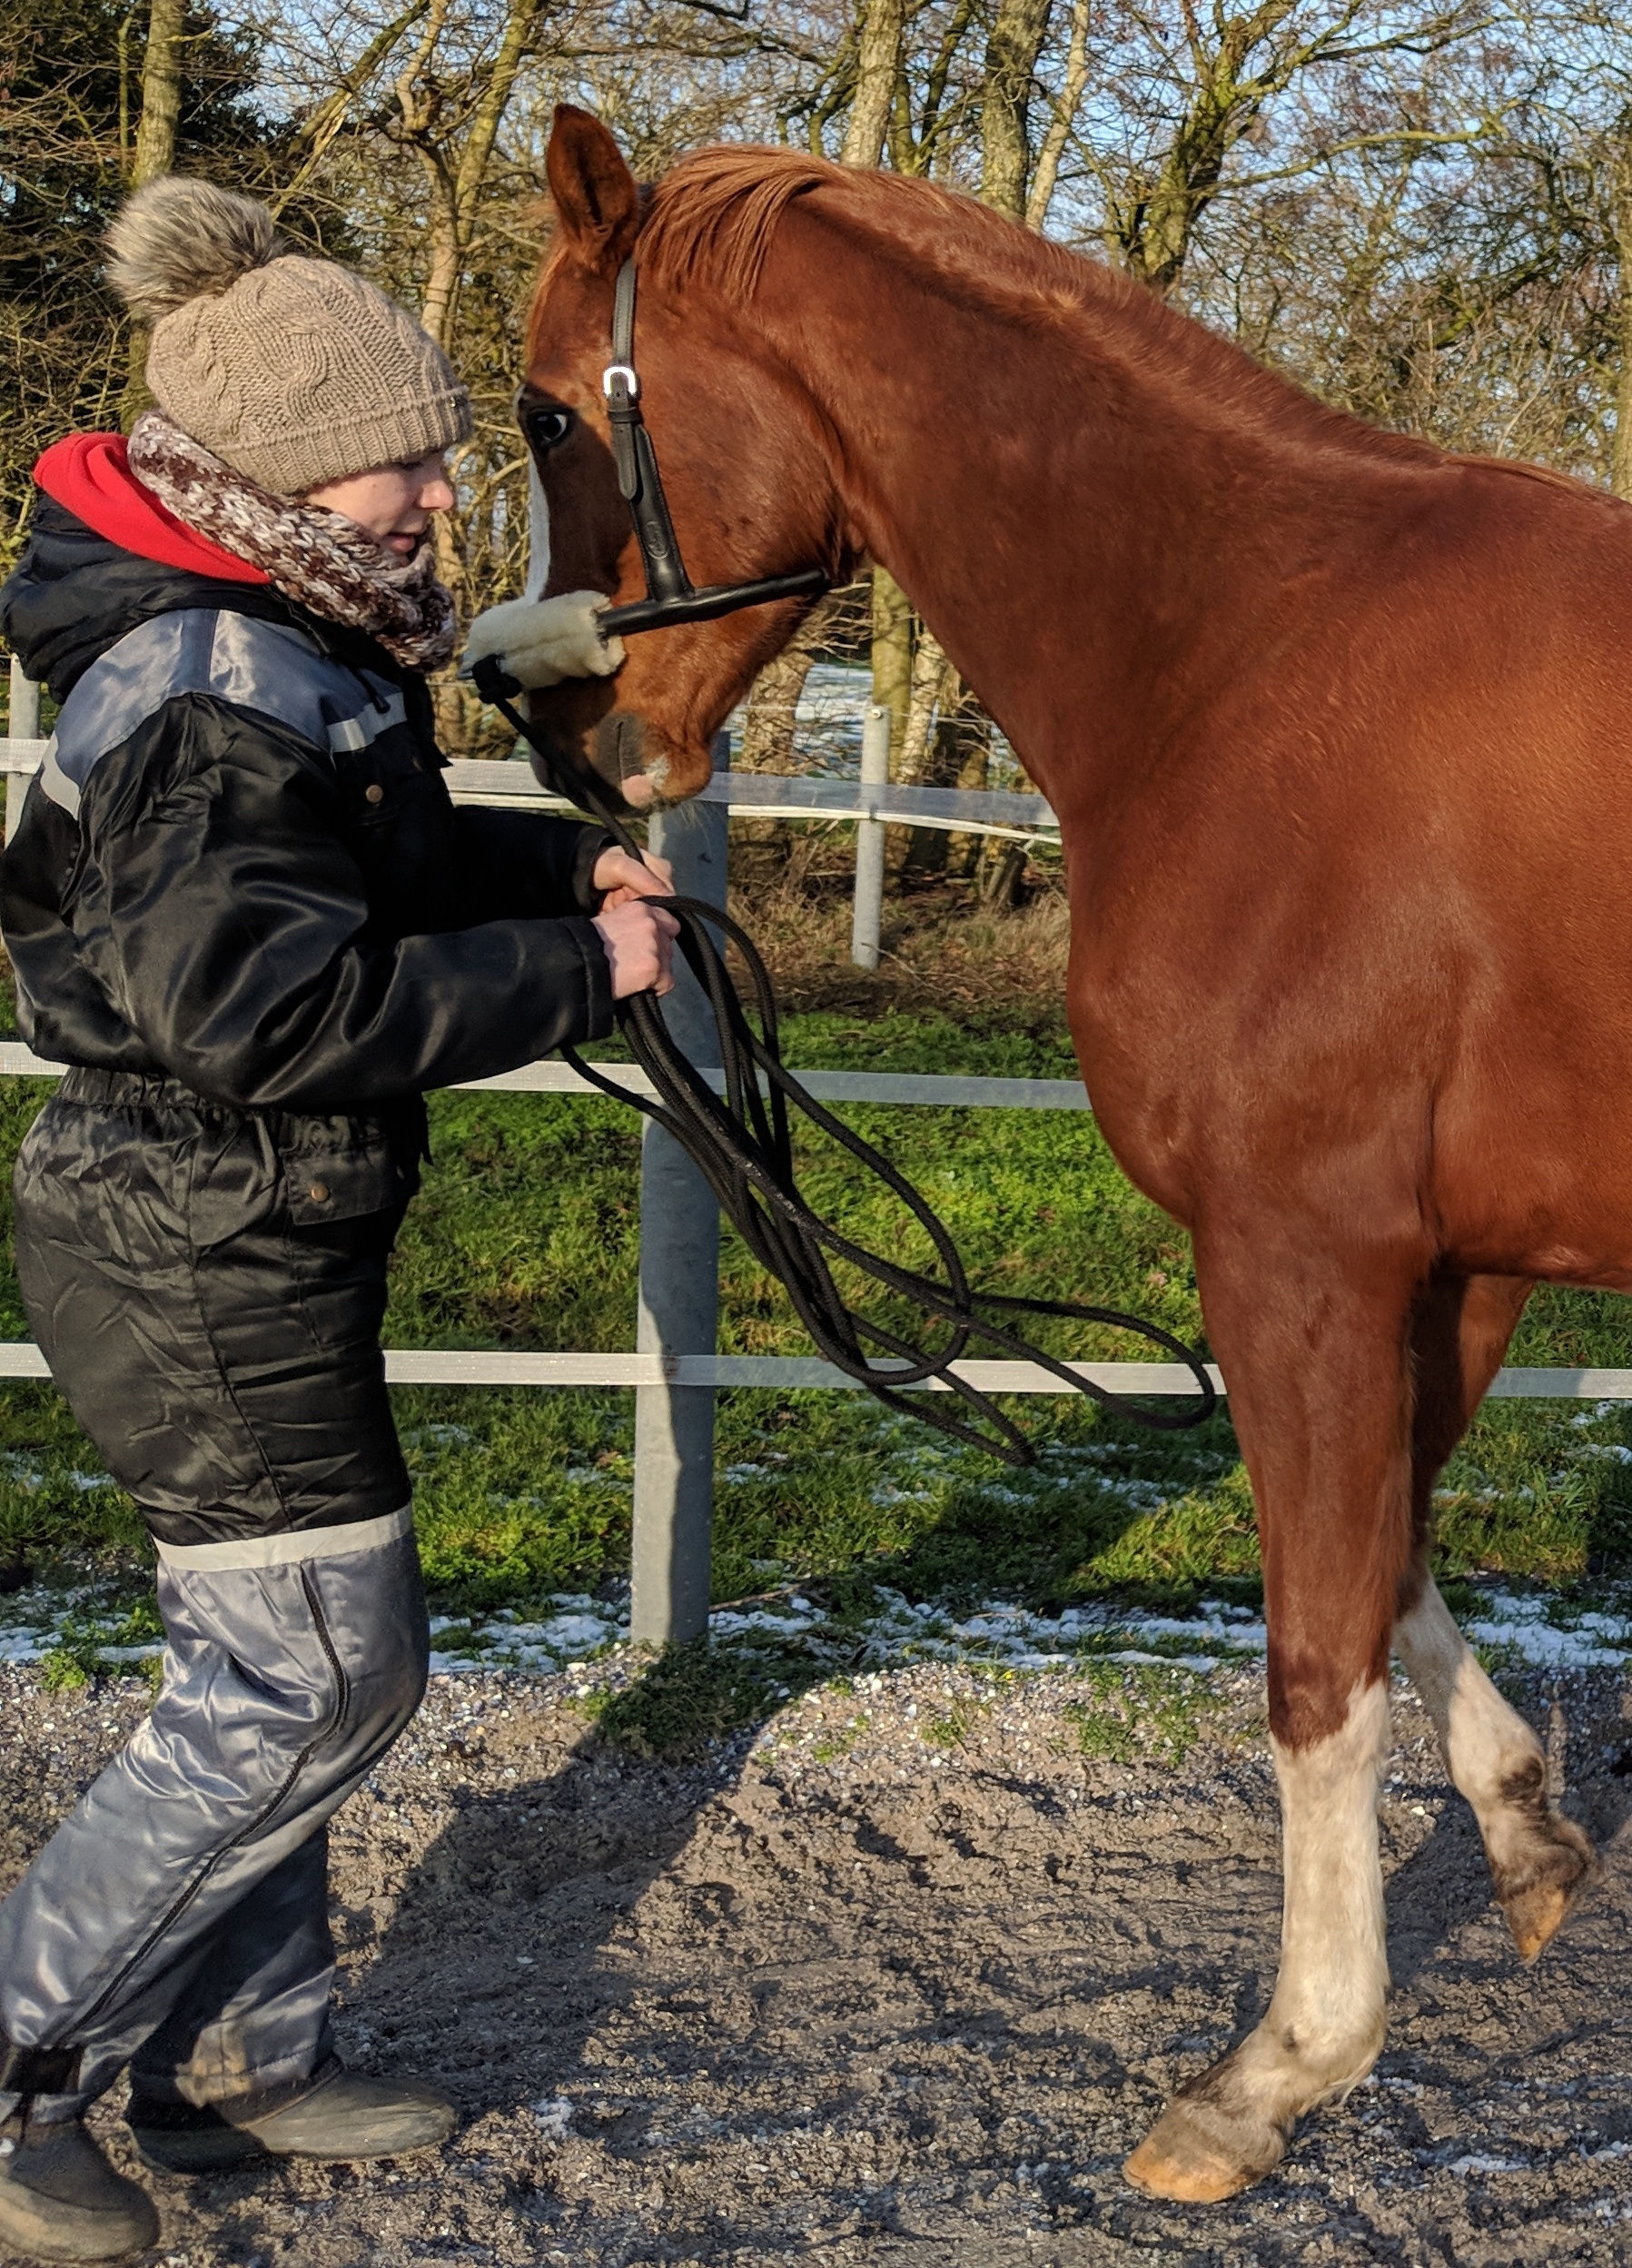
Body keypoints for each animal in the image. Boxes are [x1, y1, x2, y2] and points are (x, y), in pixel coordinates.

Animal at [513, 102, 1611, 2202]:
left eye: (541, 414)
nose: (572, 742)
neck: (1252, 645)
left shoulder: (1298, 1258)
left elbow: (1311, 1657)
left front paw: (1275, 2069)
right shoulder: (1451, 1270)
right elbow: (1386, 1573)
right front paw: (1524, 1834)